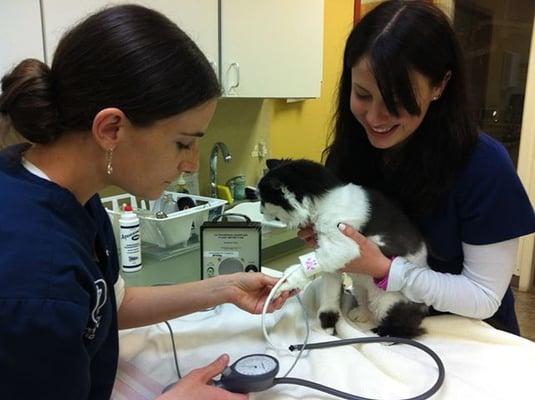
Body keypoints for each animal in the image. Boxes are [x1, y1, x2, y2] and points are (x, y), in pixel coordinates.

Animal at [258, 159, 430, 338]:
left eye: (263, 200)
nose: (260, 210)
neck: (324, 199)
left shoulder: (341, 246)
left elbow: (301, 269)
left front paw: (283, 284)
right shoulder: (332, 268)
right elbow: (328, 301)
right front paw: (325, 328)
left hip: (386, 301)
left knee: (407, 328)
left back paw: (382, 334)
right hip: (360, 287)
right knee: (365, 304)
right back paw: (361, 314)